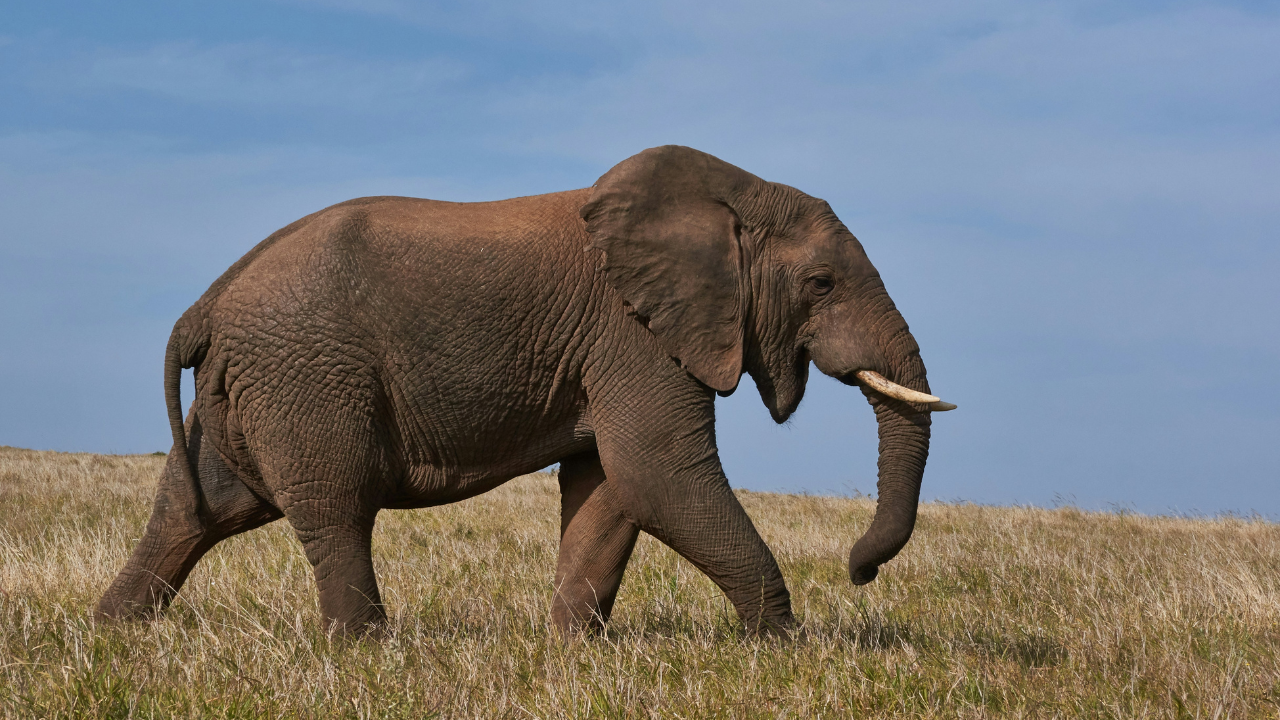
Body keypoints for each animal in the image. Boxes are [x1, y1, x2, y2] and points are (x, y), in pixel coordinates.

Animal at [97, 144, 952, 632]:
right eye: (821, 282)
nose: (859, 571)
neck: (730, 194)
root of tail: (206, 304)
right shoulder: (632, 335)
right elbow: (660, 476)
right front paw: (779, 645)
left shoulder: (615, 348)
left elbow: (611, 489)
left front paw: (572, 649)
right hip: (305, 377)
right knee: (334, 510)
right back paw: (366, 651)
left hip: (250, 389)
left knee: (197, 508)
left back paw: (115, 633)